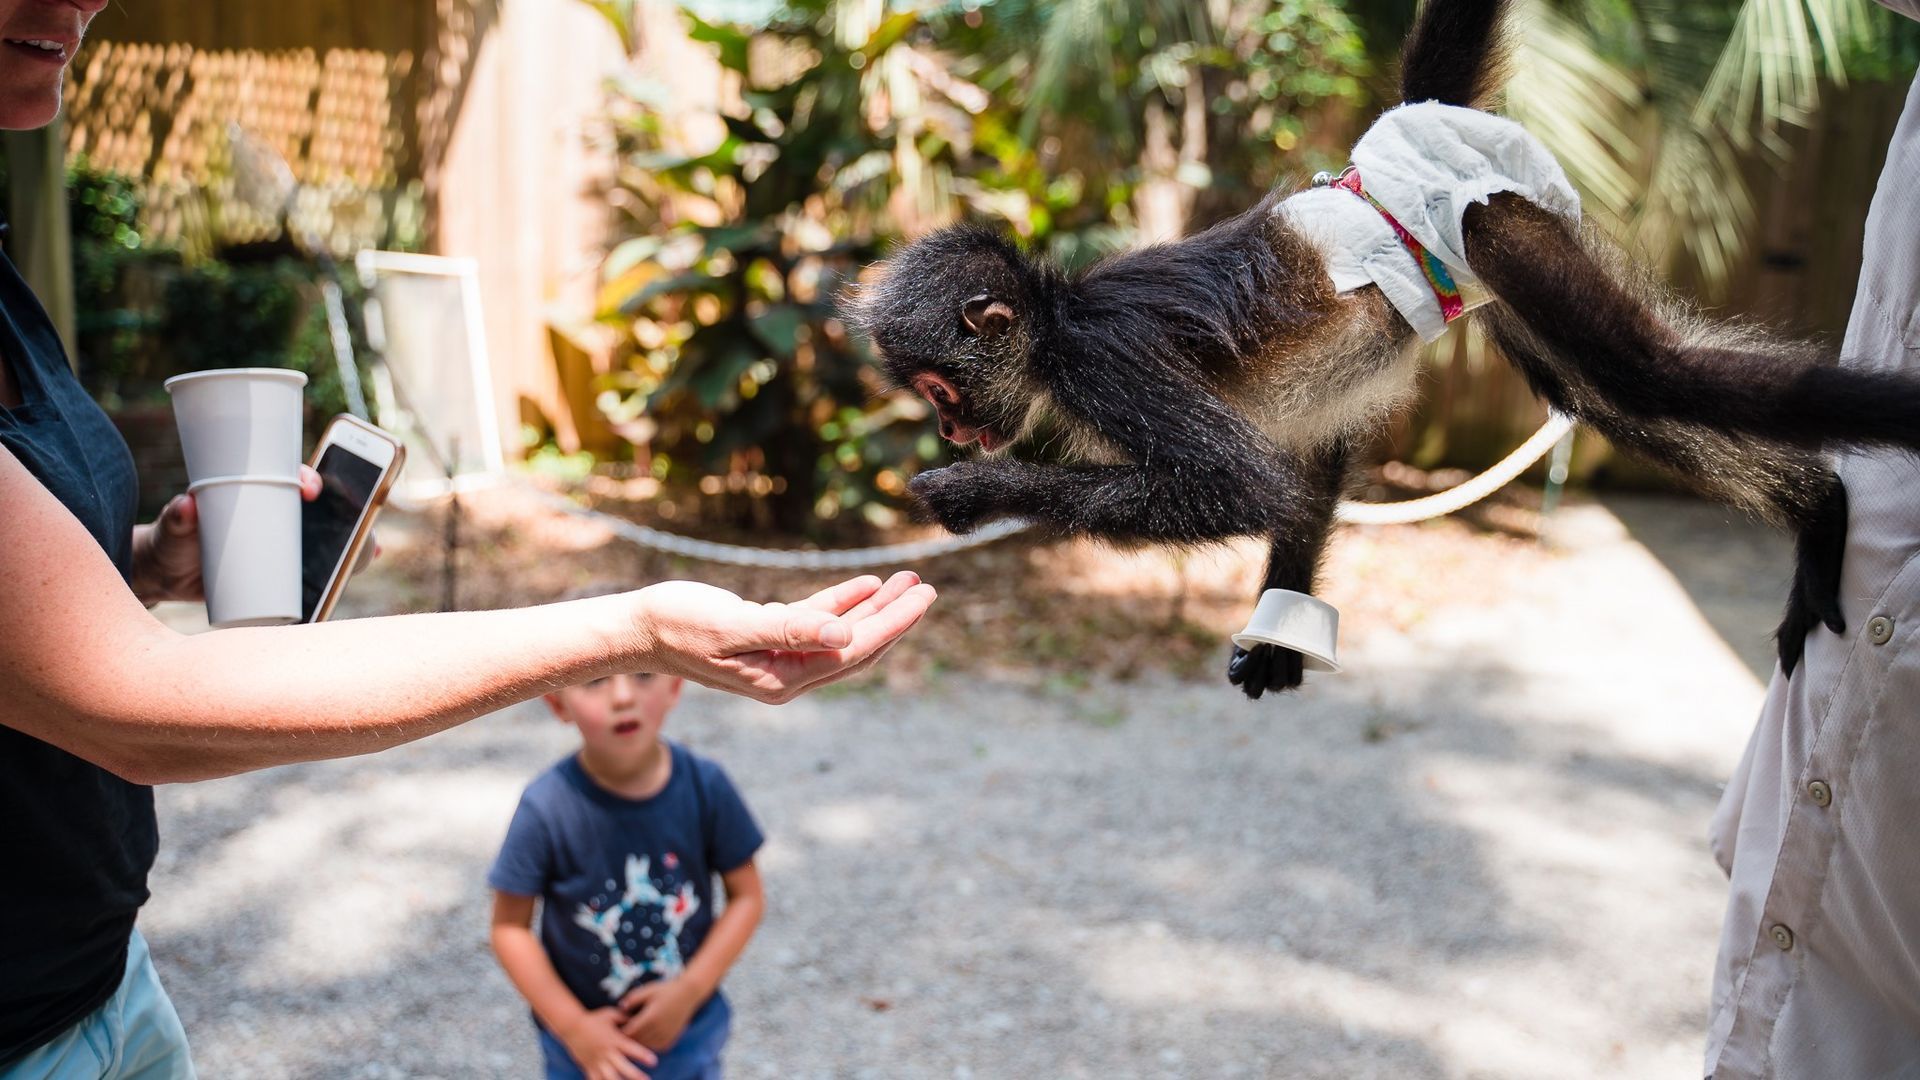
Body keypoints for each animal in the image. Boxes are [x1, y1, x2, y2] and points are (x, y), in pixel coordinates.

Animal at [848, 0, 1914, 700]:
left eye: (942, 389)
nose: (954, 431)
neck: (1057, 316)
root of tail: (1403, 139)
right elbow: (1305, 474)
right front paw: (1279, 640)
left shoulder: (1103, 367)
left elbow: (1245, 487)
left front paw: (972, 494)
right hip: (1486, 267)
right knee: (1606, 397)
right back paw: (1819, 508)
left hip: (1495, 222)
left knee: (1650, 374)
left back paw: (1829, 506)